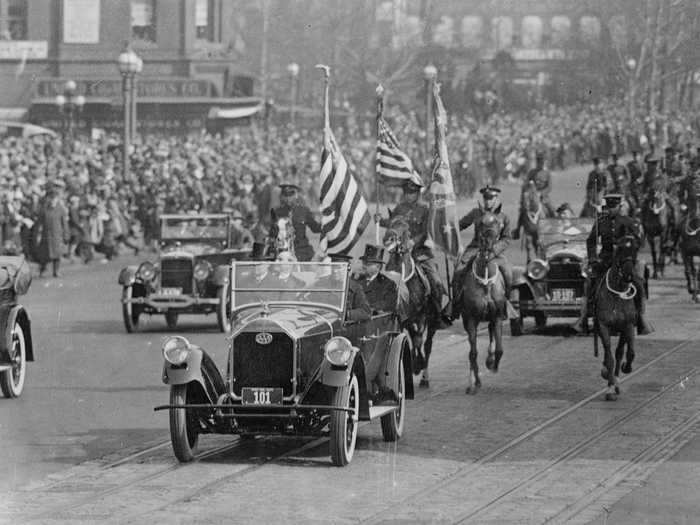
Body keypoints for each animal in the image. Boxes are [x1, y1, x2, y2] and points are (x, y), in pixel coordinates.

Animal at [382, 219, 438, 386]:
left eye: (405, 231)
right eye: (389, 224)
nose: (388, 239)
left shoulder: (421, 316)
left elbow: (418, 339)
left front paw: (418, 364)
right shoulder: (403, 319)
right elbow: (410, 338)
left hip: (432, 321)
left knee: (427, 344)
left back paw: (424, 376)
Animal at [456, 212, 506, 392]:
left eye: (498, 223)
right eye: (479, 223)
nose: (488, 245)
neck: (485, 282)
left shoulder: (497, 316)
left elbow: (499, 349)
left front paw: (493, 365)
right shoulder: (471, 320)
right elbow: (473, 353)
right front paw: (475, 382)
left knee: (491, 335)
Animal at [592, 233, 640, 402]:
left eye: (636, 248)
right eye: (619, 248)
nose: (629, 275)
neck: (616, 295)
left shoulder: (628, 326)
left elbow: (629, 352)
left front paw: (627, 367)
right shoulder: (603, 326)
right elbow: (609, 356)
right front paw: (609, 387)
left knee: (620, 352)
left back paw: (617, 381)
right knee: (611, 355)